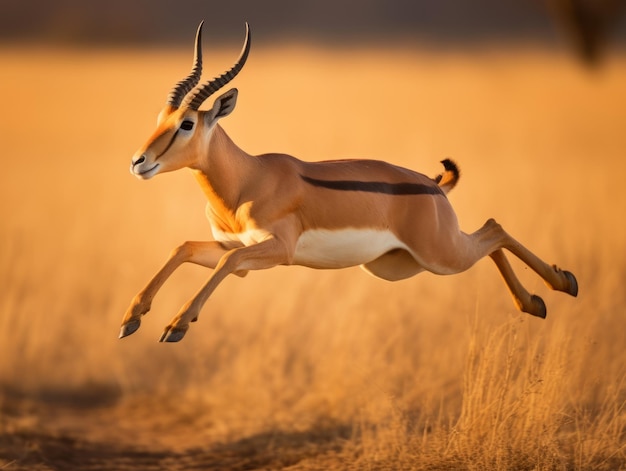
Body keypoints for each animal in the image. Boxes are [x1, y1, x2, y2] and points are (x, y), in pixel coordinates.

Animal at [119, 22, 576, 342]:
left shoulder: (276, 250)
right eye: (160, 118)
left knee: (494, 230)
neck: (247, 181)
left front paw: (177, 325)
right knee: (490, 238)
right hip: (398, 266)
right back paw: (536, 303)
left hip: (440, 255)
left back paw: (562, 284)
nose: (139, 162)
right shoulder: (236, 247)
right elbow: (182, 248)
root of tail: (434, 186)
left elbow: (223, 265)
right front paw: (131, 318)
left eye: (187, 123)